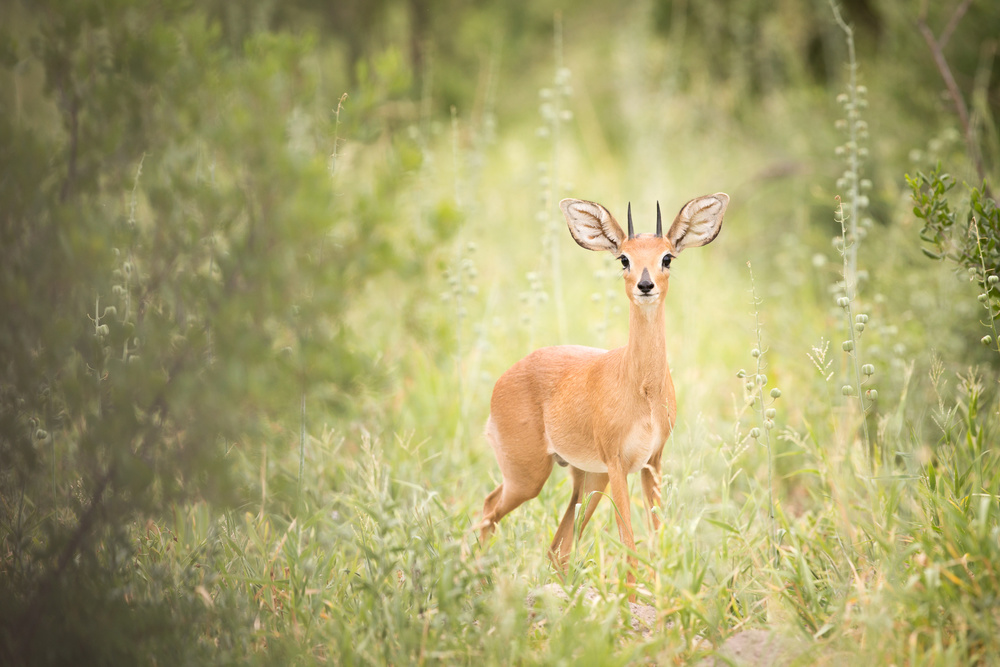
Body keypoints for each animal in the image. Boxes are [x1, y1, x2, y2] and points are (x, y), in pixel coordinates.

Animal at [476, 194, 728, 596]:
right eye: (624, 258)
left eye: (667, 257)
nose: (645, 284)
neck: (642, 390)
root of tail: (504, 378)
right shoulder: (618, 463)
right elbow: (628, 538)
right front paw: (632, 594)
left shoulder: (652, 462)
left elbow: (656, 534)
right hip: (529, 476)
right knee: (488, 509)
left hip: (586, 479)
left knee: (557, 547)